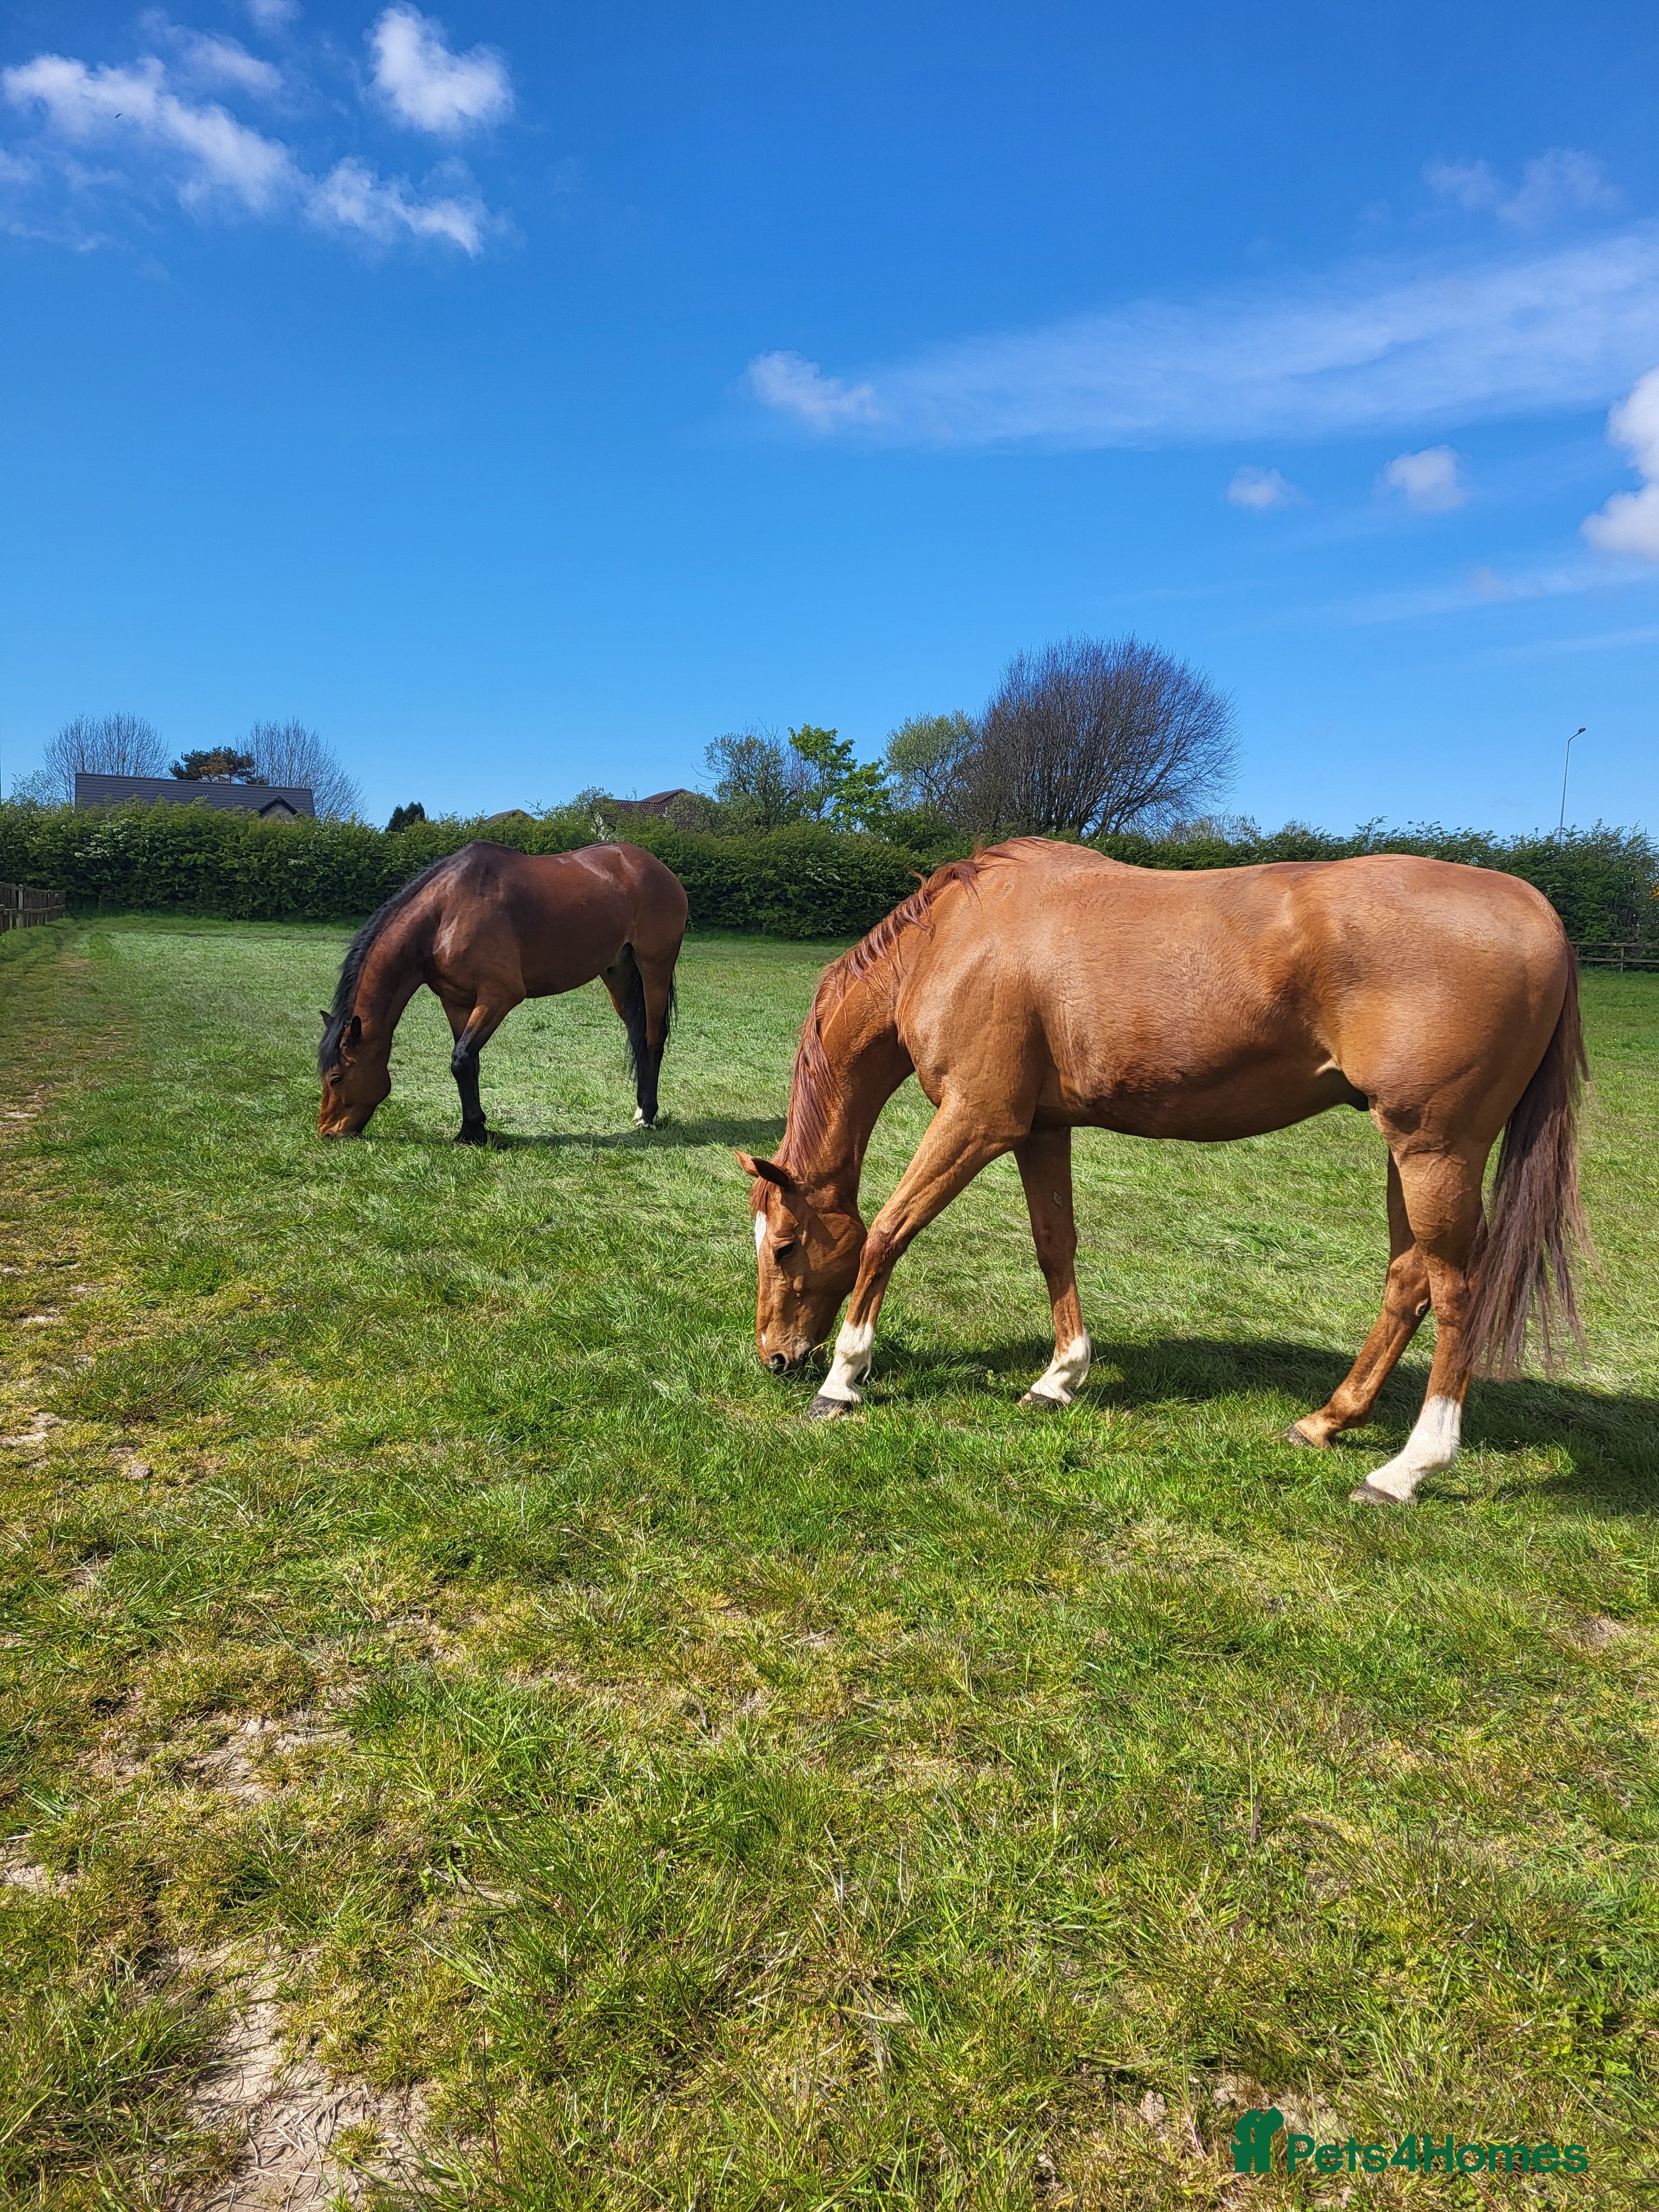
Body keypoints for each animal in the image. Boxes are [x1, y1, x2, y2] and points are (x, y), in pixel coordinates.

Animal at [318, 841, 687, 1143]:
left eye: (336, 1078)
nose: (327, 1132)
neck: (446, 914)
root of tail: (658, 869)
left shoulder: (499, 997)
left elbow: (461, 1059)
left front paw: (472, 1133)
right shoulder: (456, 1001)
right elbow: (468, 1062)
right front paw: (472, 1129)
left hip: (654, 968)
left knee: (653, 1039)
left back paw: (648, 1115)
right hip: (618, 973)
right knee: (637, 1037)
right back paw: (639, 1109)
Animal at [739, 837, 1588, 1505]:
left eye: (784, 1246)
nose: (775, 1357)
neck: (952, 942)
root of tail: (1537, 911)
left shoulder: (976, 1120)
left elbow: (887, 1233)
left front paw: (843, 1380)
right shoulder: (1040, 1129)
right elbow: (1054, 1244)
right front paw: (1059, 1378)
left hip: (1434, 1150)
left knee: (1455, 1292)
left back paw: (1408, 1468)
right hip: (1406, 1152)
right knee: (1408, 1279)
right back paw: (1327, 1420)